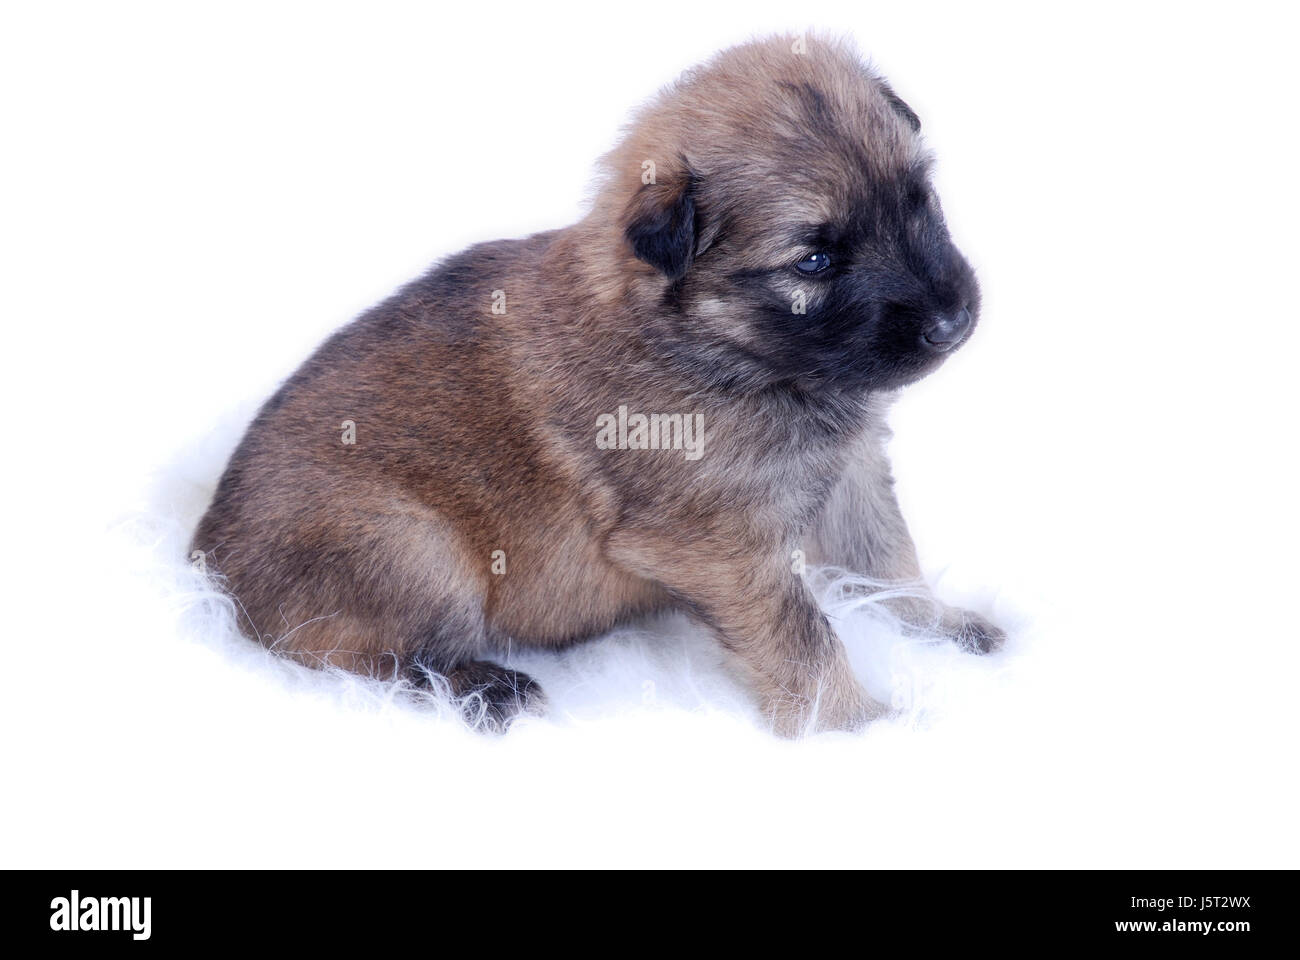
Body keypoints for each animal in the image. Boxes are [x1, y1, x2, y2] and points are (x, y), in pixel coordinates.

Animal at [192, 31, 1003, 733]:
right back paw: (487, 689)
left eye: (919, 200)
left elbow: (889, 561)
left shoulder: (851, 473)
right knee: (347, 655)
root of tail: (205, 559)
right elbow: (803, 638)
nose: (952, 322)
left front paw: (942, 628)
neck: (714, 345)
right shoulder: (722, 549)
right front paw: (856, 729)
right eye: (814, 261)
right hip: (411, 545)